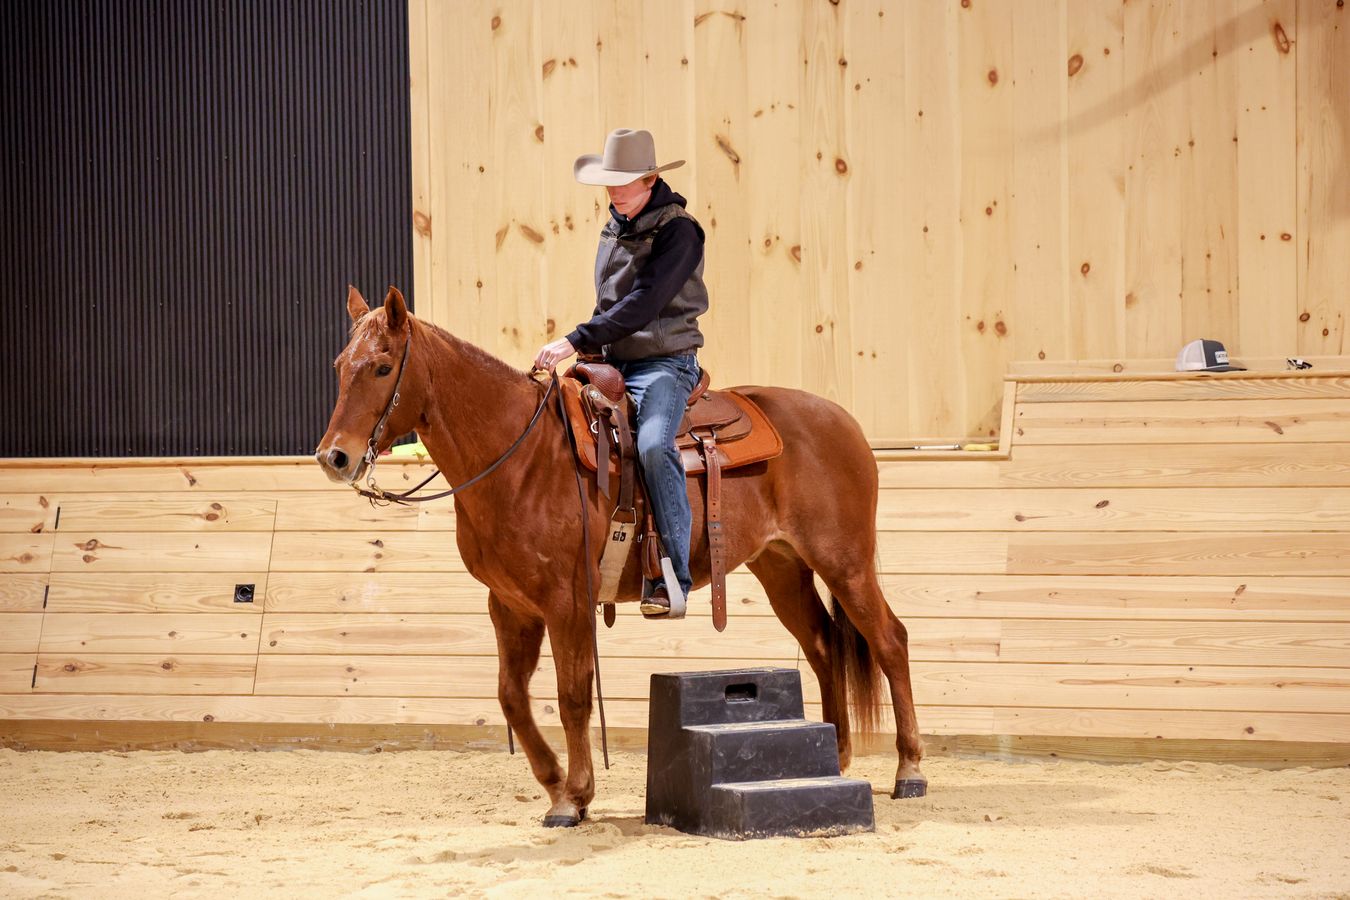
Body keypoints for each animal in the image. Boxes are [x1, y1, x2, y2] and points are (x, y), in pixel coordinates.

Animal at [315, 285, 926, 827]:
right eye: (342, 365)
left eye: (382, 367)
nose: (334, 457)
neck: (522, 456)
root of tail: (842, 421)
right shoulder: (509, 605)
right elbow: (512, 697)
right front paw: (556, 785)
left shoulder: (566, 603)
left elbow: (571, 696)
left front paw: (576, 796)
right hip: (780, 567)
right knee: (823, 647)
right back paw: (837, 759)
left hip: (844, 562)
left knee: (890, 641)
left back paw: (910, 770)